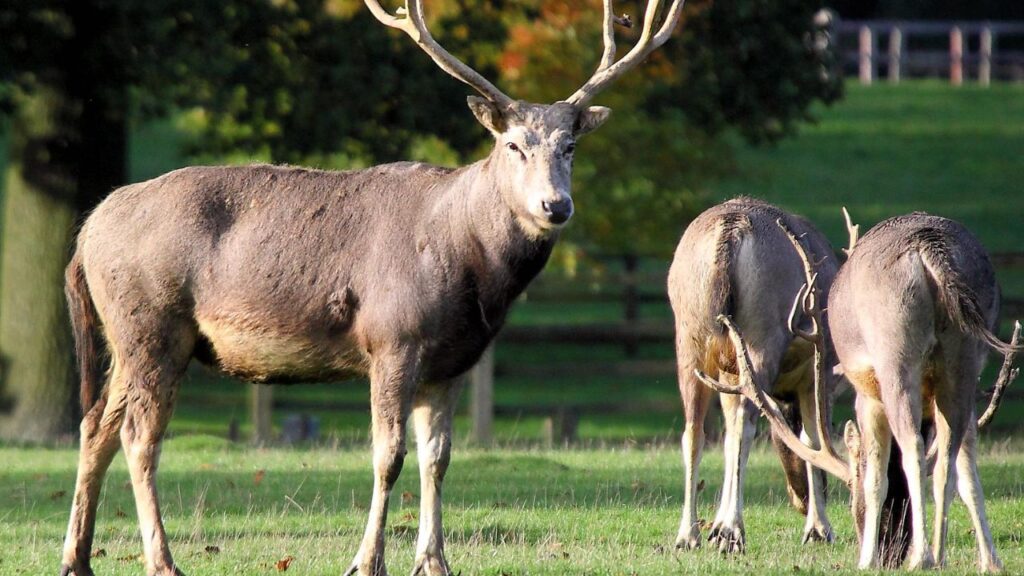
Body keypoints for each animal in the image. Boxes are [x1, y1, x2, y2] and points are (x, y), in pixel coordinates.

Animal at [58, 1, 693, 575]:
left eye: (570, 145)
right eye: (513, 144)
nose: (555, 206)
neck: (472, 273)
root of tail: (86, 233)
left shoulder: (453, 361)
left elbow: (438, 458)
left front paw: (434, 561)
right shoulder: (393, 339)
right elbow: (389, 456)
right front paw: (367, 561)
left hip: (127, 339)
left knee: (95, 424)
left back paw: (77, 558)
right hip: (152, 325)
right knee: (139, 436)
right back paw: (162, 562)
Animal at [667, 197, 841, 553]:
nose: (800, 501)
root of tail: (730, 233)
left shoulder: (728, 375)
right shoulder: (817, 373)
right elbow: (813, 438)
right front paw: (819, 528)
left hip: (689, 340)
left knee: (694, 431)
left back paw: (688, 534)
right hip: (762, 333)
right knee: (744, 423)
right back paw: (732, 530)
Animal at [696, 211, 1021, 572]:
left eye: (853, 499)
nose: (891, 553)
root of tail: (930, 251)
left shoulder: (866, 395)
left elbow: (876, 475)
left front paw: (866, 559)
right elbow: (966, 471)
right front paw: (990, 561)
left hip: (893, 355)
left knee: (913, 447)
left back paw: (921, 557)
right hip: (963, 359)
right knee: (945, 462)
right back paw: (937, 555)